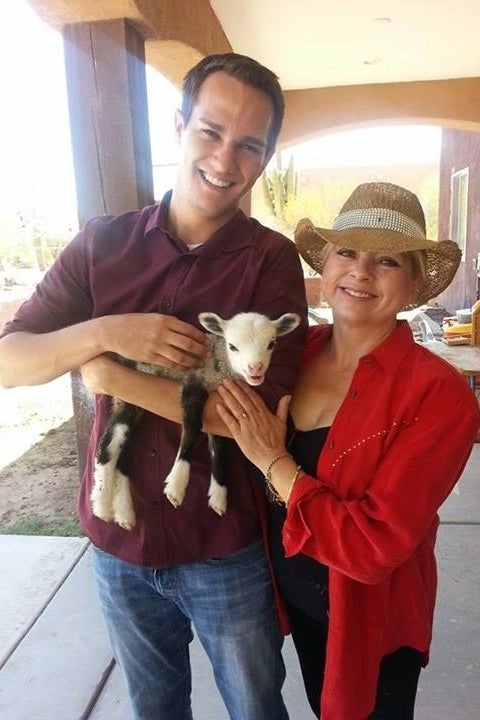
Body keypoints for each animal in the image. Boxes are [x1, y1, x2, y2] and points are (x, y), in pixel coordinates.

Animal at [91, 310, 298, 528]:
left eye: (271, 344)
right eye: (232, 346)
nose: (255, 369)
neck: (218, 363)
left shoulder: (216, 403)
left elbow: (218, 446)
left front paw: (218, 495)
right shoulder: (194, 383)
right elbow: (192, 427)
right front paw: (176, 485)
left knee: (123, 451)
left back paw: (123, 513)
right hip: (129, 387)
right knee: (108, 443)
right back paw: (102, 504)